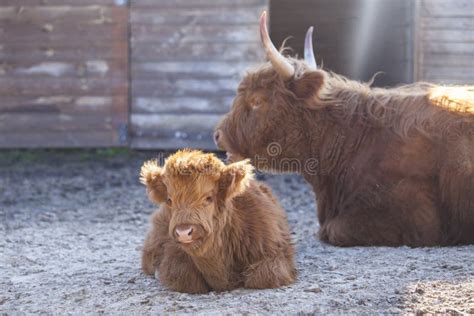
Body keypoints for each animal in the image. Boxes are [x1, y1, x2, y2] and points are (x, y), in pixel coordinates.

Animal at [139, 149, 294, 292]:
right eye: (169, 200)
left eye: (208, 198)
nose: (184, 232)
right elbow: (183, 277)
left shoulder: (277, 255)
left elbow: (261, 277)